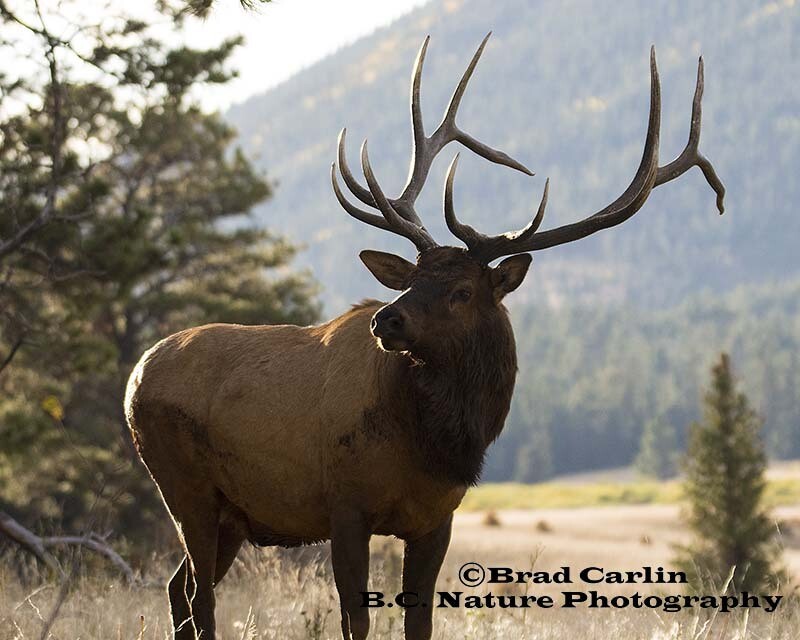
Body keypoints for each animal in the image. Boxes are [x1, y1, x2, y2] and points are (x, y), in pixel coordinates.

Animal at [124, 34, 724, 640]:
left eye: (462, 290)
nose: (386, 320)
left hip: (232, 513)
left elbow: (420, 620)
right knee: (197, 597)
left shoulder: (438, 518)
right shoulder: (345, 506)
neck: (435, 446)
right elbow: (356, 620)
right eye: (412, 278)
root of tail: (134, 377)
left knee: (178, 588)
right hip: (185, 487)